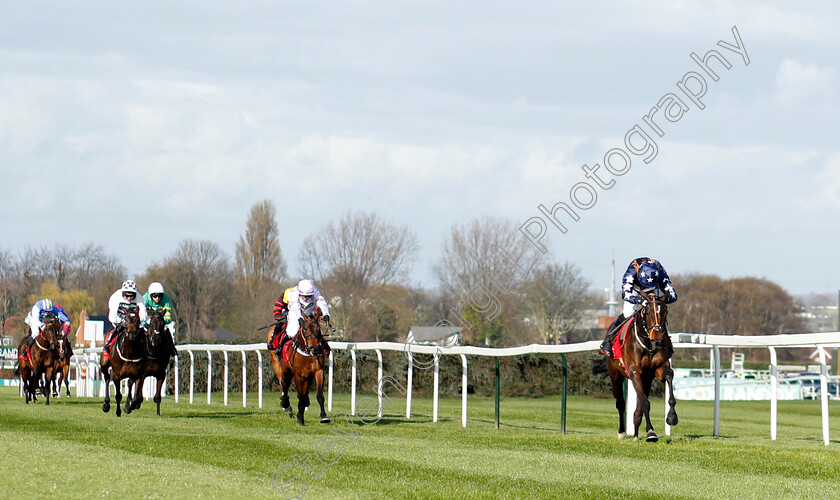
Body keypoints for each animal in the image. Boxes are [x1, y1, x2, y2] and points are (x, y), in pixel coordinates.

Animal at [592, 290, 680, 442]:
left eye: (665, 312)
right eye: (648, 312)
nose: (658, 339)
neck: (649, 345)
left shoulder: (659, 368)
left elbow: (669, 379)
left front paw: (672, 417)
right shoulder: (634, 372)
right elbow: (645, 403)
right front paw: (651, 432)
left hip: (646, 379)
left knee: (638, 404)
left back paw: (635, 433)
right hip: (615, 375)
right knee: (621, 403)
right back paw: (622, 432)